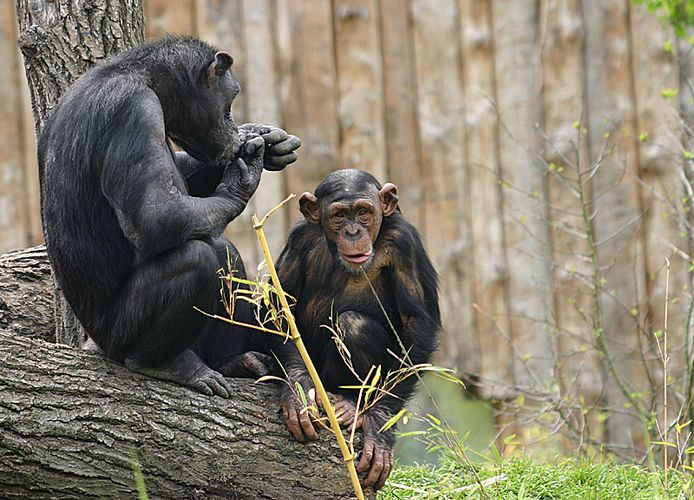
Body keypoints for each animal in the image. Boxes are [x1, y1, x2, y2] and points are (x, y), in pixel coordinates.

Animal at [37, 37, 300, 398]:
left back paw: (234, 362)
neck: (145, 78)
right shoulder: (135, 111)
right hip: (116, 336)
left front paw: (263, 137)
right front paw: (240, 180)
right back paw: (164, 364)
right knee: (197, 256)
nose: (234, 125)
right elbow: (158, 214)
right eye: (230, 100)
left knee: (225, 252)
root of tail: (95, 344)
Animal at [270, 170, 440, 490]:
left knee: (353, 324)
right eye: (339, 215)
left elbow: (416, 321)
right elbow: (280, 306)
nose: (352, 232)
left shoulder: (405, 242)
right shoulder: (299, 238)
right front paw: (298, 394)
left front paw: (380, 425)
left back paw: (353, 406)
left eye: (363, 212)